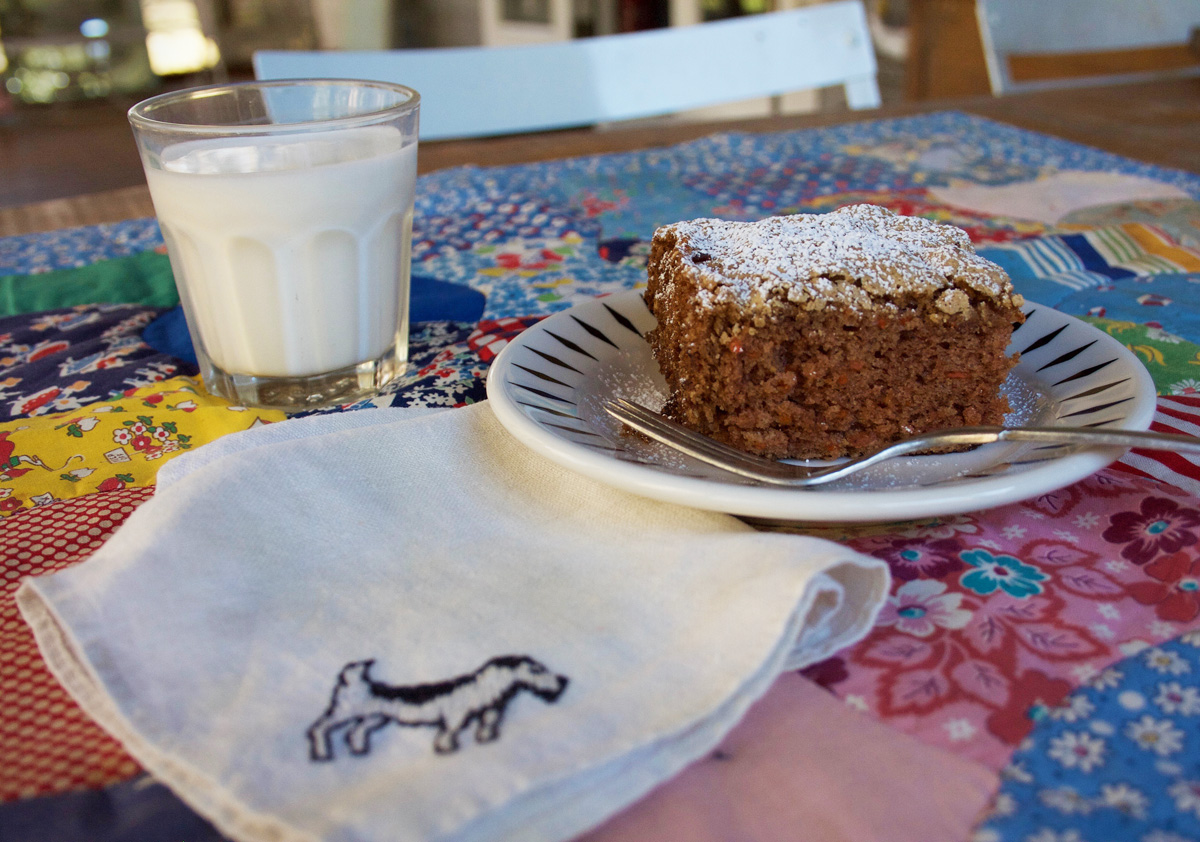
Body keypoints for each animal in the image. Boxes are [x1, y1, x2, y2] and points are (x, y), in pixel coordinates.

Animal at [309, 657, 571, 762]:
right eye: (537, 670)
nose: (564, 680)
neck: (481, 688)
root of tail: (354, 681)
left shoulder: (489, 711)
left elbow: (488, 723)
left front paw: (485, 738)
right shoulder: (455, 715)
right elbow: (449, 732)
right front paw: (446, 748)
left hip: (373, 718)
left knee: (355, 732)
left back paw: (358, 749)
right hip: (344, 712)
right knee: (320, 727)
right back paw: (322, 752)